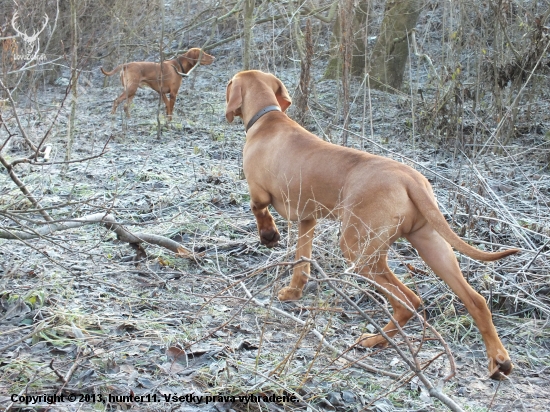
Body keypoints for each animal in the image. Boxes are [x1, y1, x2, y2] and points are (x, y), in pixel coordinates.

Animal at [226, 70, 520, 380]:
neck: (268, 118)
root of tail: (410, 179)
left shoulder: (259, 193)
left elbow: (257, 209)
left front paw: (269, 235)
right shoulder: (308, 218)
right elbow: (301, 261)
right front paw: (294, 291)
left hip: (359, 250)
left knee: (409, 301)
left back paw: (375, 339)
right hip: (431, 245)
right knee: (475, 301)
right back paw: (498, 360)